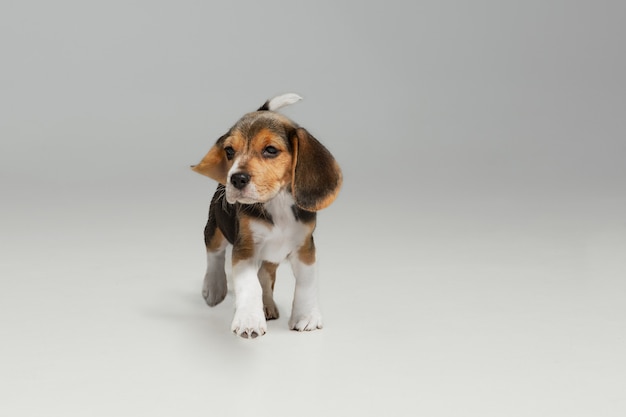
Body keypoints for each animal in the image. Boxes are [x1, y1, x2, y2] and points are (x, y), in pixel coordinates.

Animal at [193, 94, 344, 338]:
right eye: (229, 151)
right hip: (215, 226)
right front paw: (248, 320)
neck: (277, 203)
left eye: (271, 150)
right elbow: (250, 285)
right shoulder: (245, 249)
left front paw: (306, 316)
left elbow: (306, 283)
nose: (236, 179)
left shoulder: (305, 249)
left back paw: (266, 305)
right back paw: (214, 288)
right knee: (214, 254)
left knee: (264, 275)